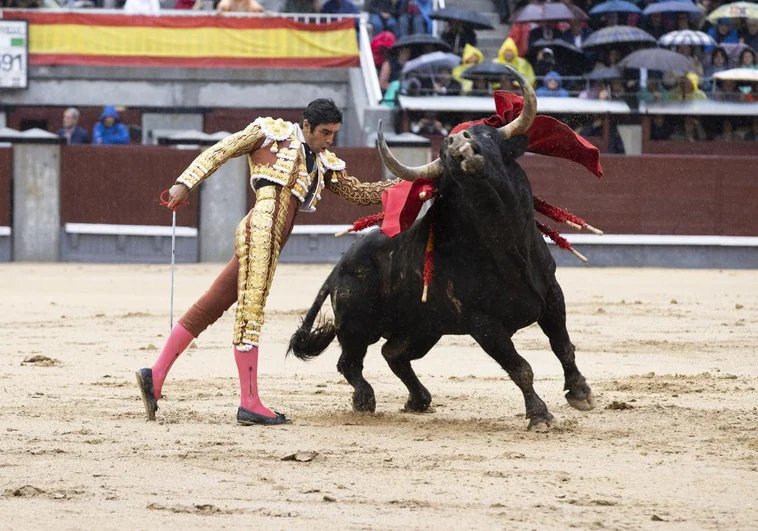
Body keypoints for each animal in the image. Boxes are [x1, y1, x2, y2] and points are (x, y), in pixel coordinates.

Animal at [288, 67, 596, 432]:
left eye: (487, 136)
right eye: (447, 160)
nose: (459, 146)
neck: (508, 246)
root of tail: (338, 268)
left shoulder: (552, 296)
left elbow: (563, 346)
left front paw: (581, 393)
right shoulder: (483, 324)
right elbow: (520, 367)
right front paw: (540, 415)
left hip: (423, 328)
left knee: (394, 355)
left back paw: (419, 399)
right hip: (357, 325)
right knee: (350, 362)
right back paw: (365, 400)